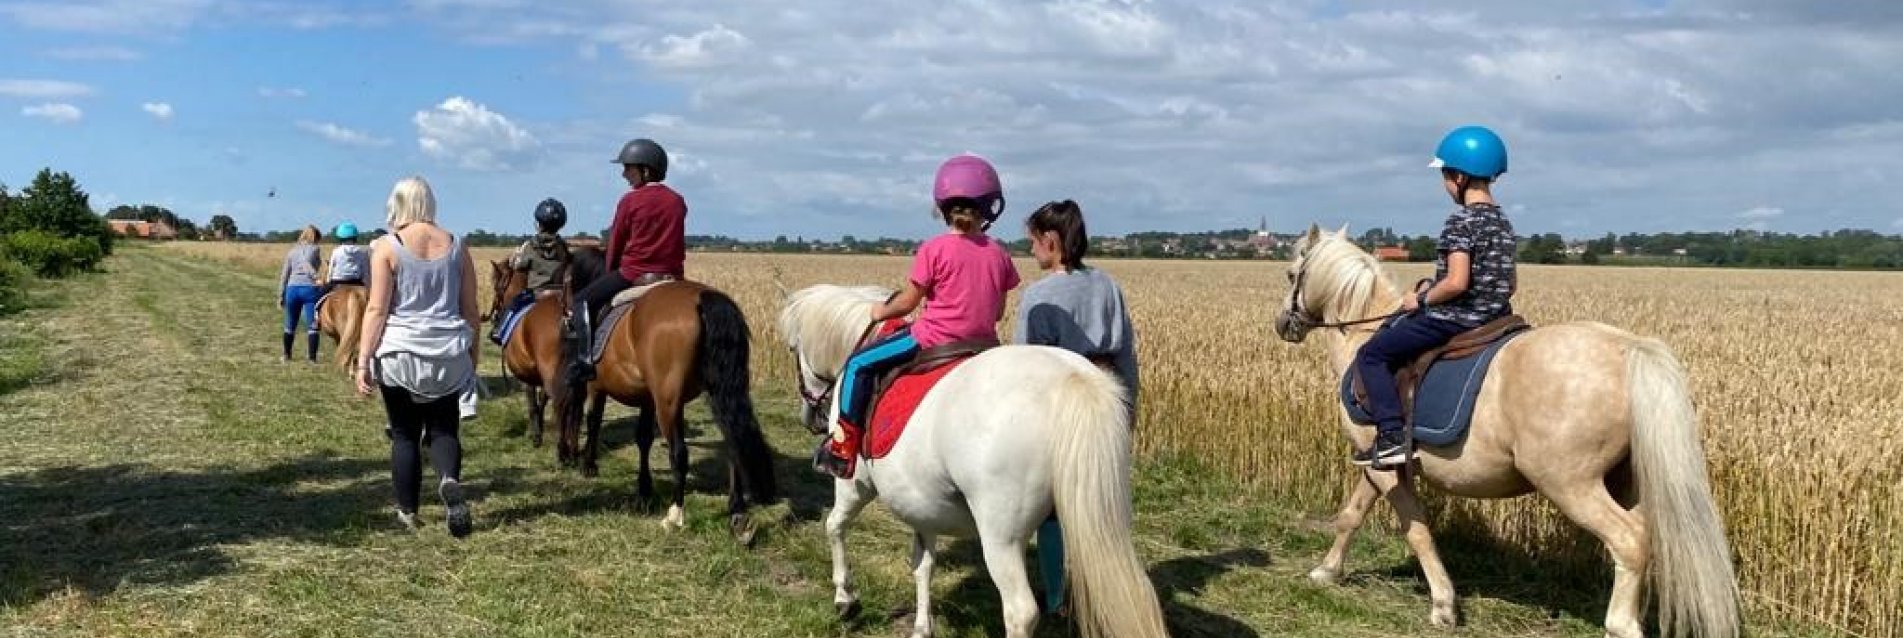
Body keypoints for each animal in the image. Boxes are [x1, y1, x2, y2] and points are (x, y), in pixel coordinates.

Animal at [555, 278, 776, 537]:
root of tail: (703, 297)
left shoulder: (597, 386)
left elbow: (594, 421)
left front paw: (588, 465)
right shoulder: (647, 398)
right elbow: (643, 438)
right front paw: (644, 490)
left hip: (668, 402)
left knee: (679, 453)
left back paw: (675, 515)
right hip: (716, 392)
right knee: (734, 443)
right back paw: (737, 510)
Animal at [776, 287, 1164, 638]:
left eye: (794, 350)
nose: (809, 417)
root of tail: (1070, 380)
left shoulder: (854, 485)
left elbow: (834, 526)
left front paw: (845, 598)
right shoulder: (921, 504)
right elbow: (923, 564)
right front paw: (922, 627)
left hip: (1001, 535)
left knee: (1020, 612)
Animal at [1278, 226, 1743, 638]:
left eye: (1291, 273)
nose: (1284, 324)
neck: (1363, 334)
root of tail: (1629, 349)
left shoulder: (1382, 465)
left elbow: (1417, 531)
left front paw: (1443, 605)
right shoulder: (1377, 463)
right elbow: (1351, 515)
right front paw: (1327, 570)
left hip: (1570, 484)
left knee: (1628, 541)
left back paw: (1620, 626)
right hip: (1626, 481)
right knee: (1642, 538)